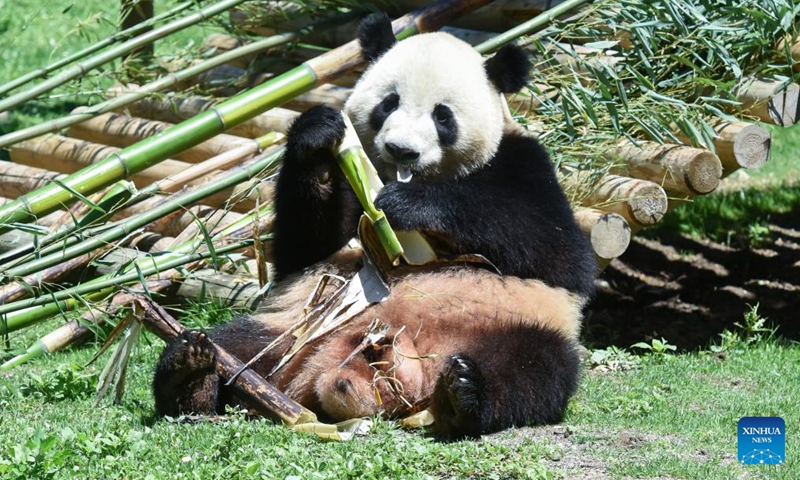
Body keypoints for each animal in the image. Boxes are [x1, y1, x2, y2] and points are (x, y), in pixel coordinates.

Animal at [153, 13, 596, 440]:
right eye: (389, 103)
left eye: (443, 116)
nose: (402, 150)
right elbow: (303, 247)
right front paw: (319, 139)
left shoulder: (524, 163)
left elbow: (558, 251)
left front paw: (407, 205)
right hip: (292, 328)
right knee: (239, 345)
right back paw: (191, 371)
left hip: (517, 324)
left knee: (533, 369)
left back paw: (466, 392)